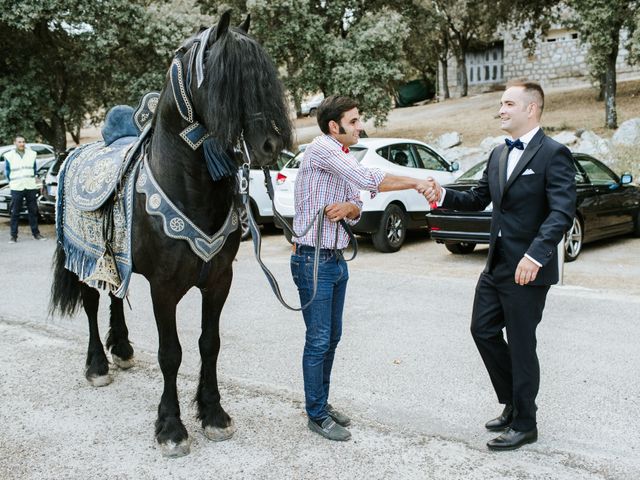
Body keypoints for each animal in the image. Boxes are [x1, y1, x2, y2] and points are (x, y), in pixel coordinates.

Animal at [50, 9, 292, 456]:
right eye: (225, 79)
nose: (271, 145)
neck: (189, 184)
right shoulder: (164, 287)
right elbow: (171, 354)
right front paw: (171, 427)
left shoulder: (219, 280)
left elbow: (209, 344)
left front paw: (213, 414)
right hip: (87, 259)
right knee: (92, 304)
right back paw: (98, 365)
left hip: (115, 258)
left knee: (115, 295)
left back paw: (122, 349)